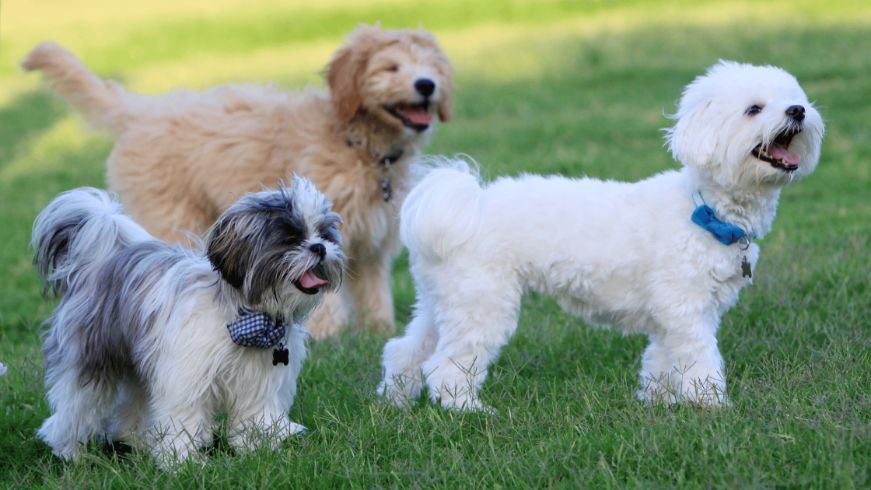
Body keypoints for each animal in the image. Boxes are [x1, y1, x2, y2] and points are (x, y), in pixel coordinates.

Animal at [34, 178, 348, 466]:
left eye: (325, 234)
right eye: (290, 238)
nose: (319, 247)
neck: (246, 316)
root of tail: (100, 263)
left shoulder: (258, 381)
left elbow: (254, 415)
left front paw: (258, 449)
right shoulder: (185, 377)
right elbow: (182, 418)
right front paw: (181, 461)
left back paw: (136, 441)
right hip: (91, 357)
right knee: (78, 406)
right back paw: (70, 450)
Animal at [380, 62, 824, 414]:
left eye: (794, 98)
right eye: (754, 109)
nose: (798, 111)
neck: (704, 210)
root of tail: (465, 205)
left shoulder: (672, 317)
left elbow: (662, 360)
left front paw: (660, 402)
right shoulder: (687, 310)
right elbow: (700, 361)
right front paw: (711, 405)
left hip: (444, 301)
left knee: (406, 350)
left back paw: (396, 402)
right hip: (483, 303)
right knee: (445, 365)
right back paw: (466, 410)